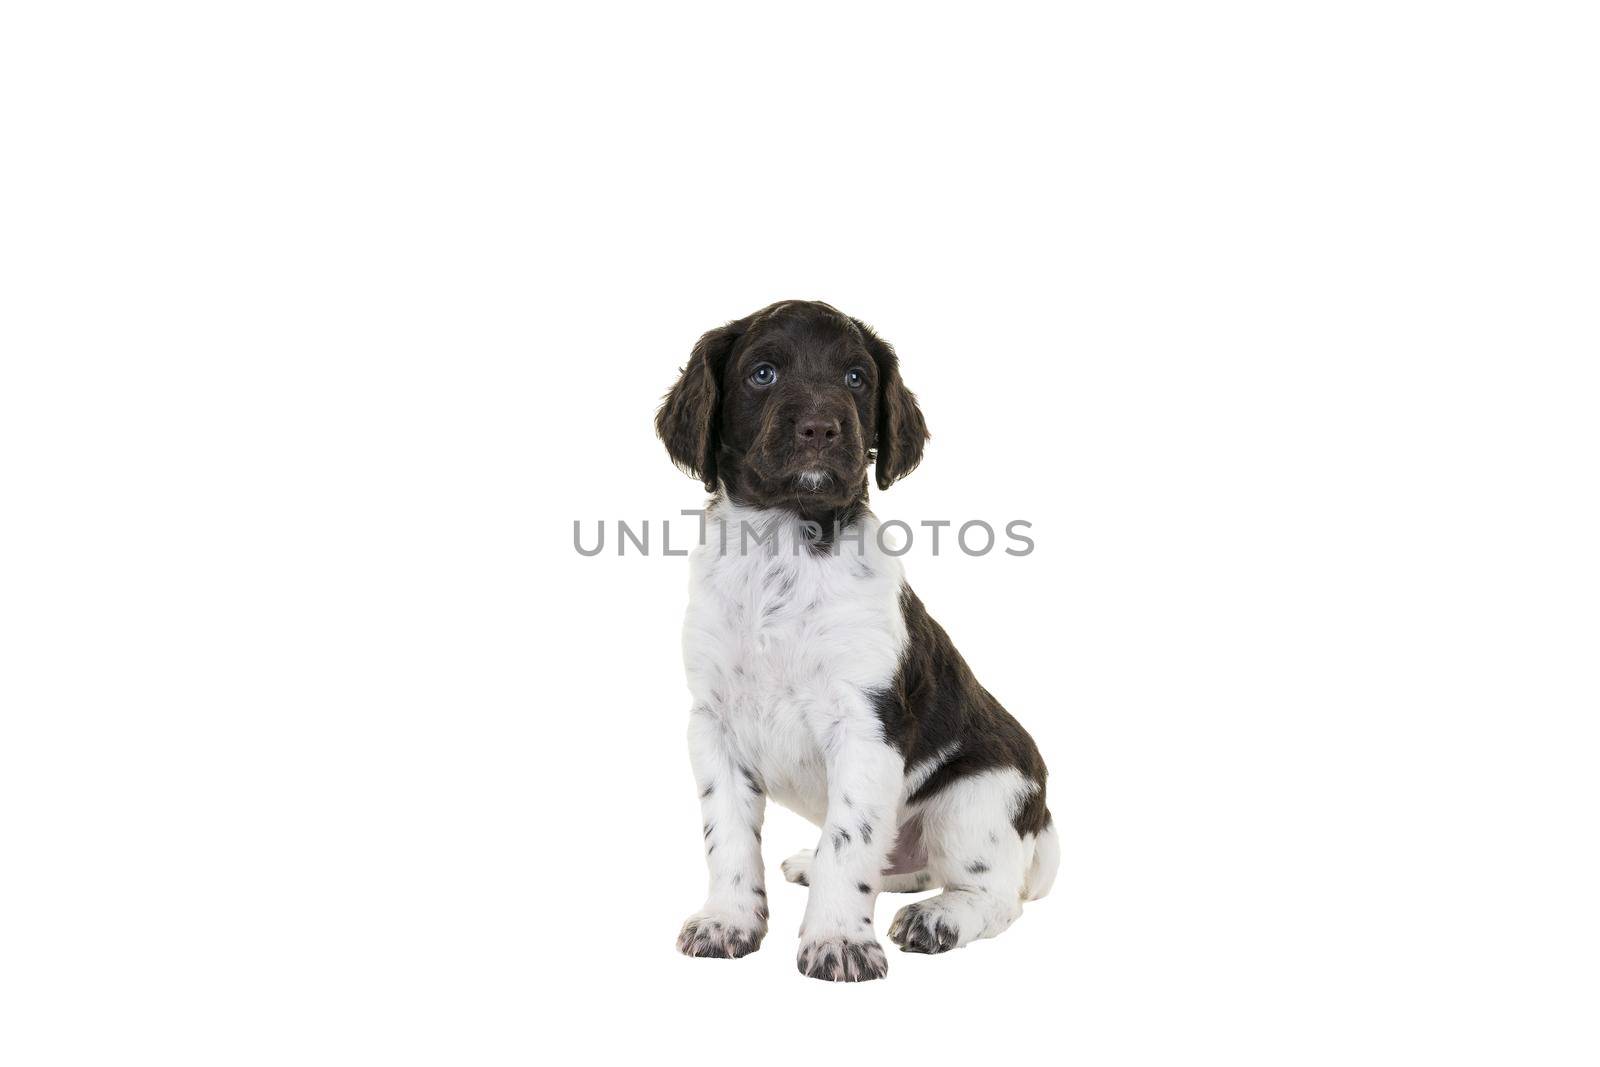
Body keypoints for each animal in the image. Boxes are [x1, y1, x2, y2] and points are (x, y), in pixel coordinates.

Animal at [656, 300, 1056, 985]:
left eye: (855, 379)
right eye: (762, 373)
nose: (821, 428)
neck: (782, 542)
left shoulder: (867, 725)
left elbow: (851, 841)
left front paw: (838, 940)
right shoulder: (713, 724)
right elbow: (727, 835)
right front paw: (728, 921)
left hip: (982, 796)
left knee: (996, 895)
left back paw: (940, 918)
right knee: (901, 864)